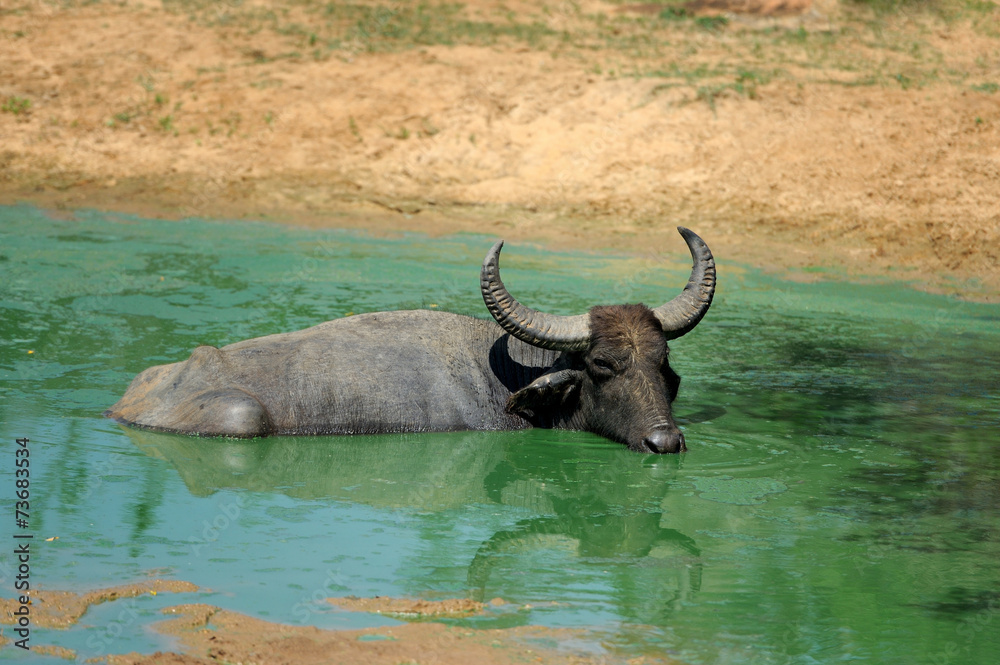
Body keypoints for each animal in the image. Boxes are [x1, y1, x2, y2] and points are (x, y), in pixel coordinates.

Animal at [105, 227, 716, 453]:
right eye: (603, 366)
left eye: (663, 365)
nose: (664, 441)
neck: (508, 380)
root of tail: (132, 401)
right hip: (240, 417)